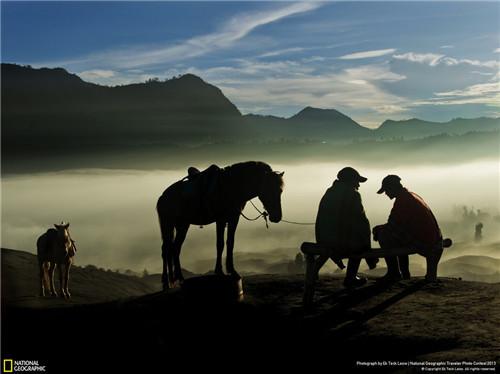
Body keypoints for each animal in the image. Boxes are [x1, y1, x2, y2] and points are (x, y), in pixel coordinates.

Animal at [157, 161, 282, 290]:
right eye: (268, 190)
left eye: (280, 191)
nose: (277, 217)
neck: (230, 187)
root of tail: (162, 197)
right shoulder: (220, 220)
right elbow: (220, 244)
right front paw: (219, 271)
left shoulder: (234, 219)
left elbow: (230, 242)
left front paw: (232, 270)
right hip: (168, 225)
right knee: (166, 249)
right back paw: (167, 282)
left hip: (182, 225)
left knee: (175, 248)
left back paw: (177, 278)